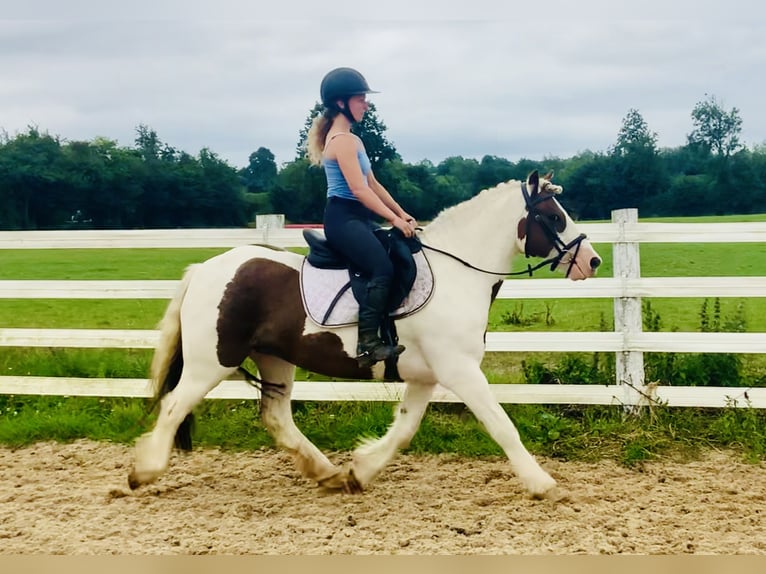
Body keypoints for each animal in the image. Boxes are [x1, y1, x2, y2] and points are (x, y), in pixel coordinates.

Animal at [127, 170, 608, 500]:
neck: (458, 274)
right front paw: (543, 483)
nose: (593, 261)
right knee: (174, 406)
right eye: (554, 217)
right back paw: (143, 472)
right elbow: (501, 426)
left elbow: (405, 429)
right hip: (212, 361)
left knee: (276, 416)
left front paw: (360, 471)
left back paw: (327, 473)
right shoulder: (461, 371)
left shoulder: (426, 376)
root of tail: (206, 268)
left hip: (275, 358)